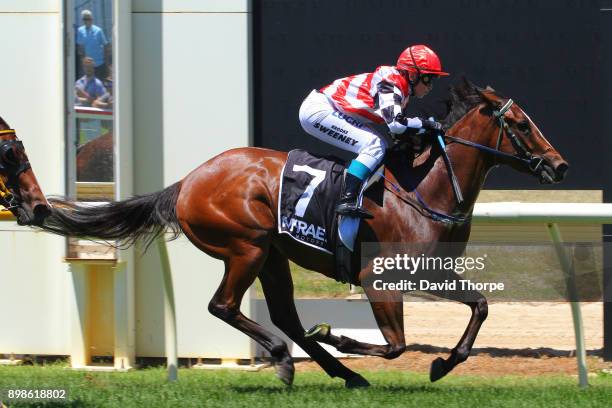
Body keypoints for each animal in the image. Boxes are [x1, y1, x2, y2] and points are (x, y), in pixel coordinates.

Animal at [40, 80, 568, 388]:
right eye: (520, 124)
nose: (559, 166)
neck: (426, 191)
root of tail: (186, 182)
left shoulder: (433, 272)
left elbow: (480, 306)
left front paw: (443, 363)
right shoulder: (380, 277)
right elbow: (396, 344)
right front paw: (344, 337)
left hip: (273, 256)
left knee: (286, 318)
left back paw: (342, 373)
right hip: (245, 247)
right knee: (224, 307)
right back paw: (289, 358)